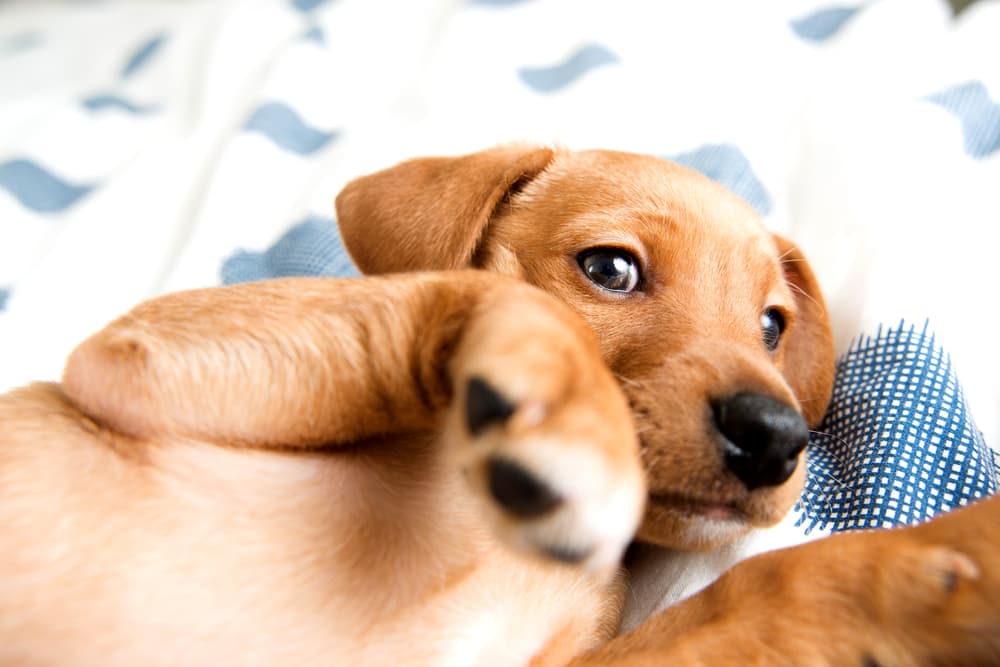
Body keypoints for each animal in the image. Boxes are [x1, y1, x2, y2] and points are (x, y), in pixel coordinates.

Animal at [0, 144, 996, 664]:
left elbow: (748, 590)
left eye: (772, 325)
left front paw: (944, 561)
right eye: (609, 267)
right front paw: (572, 418)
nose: (777, 433)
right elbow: (489, 297)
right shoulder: (149, 349)